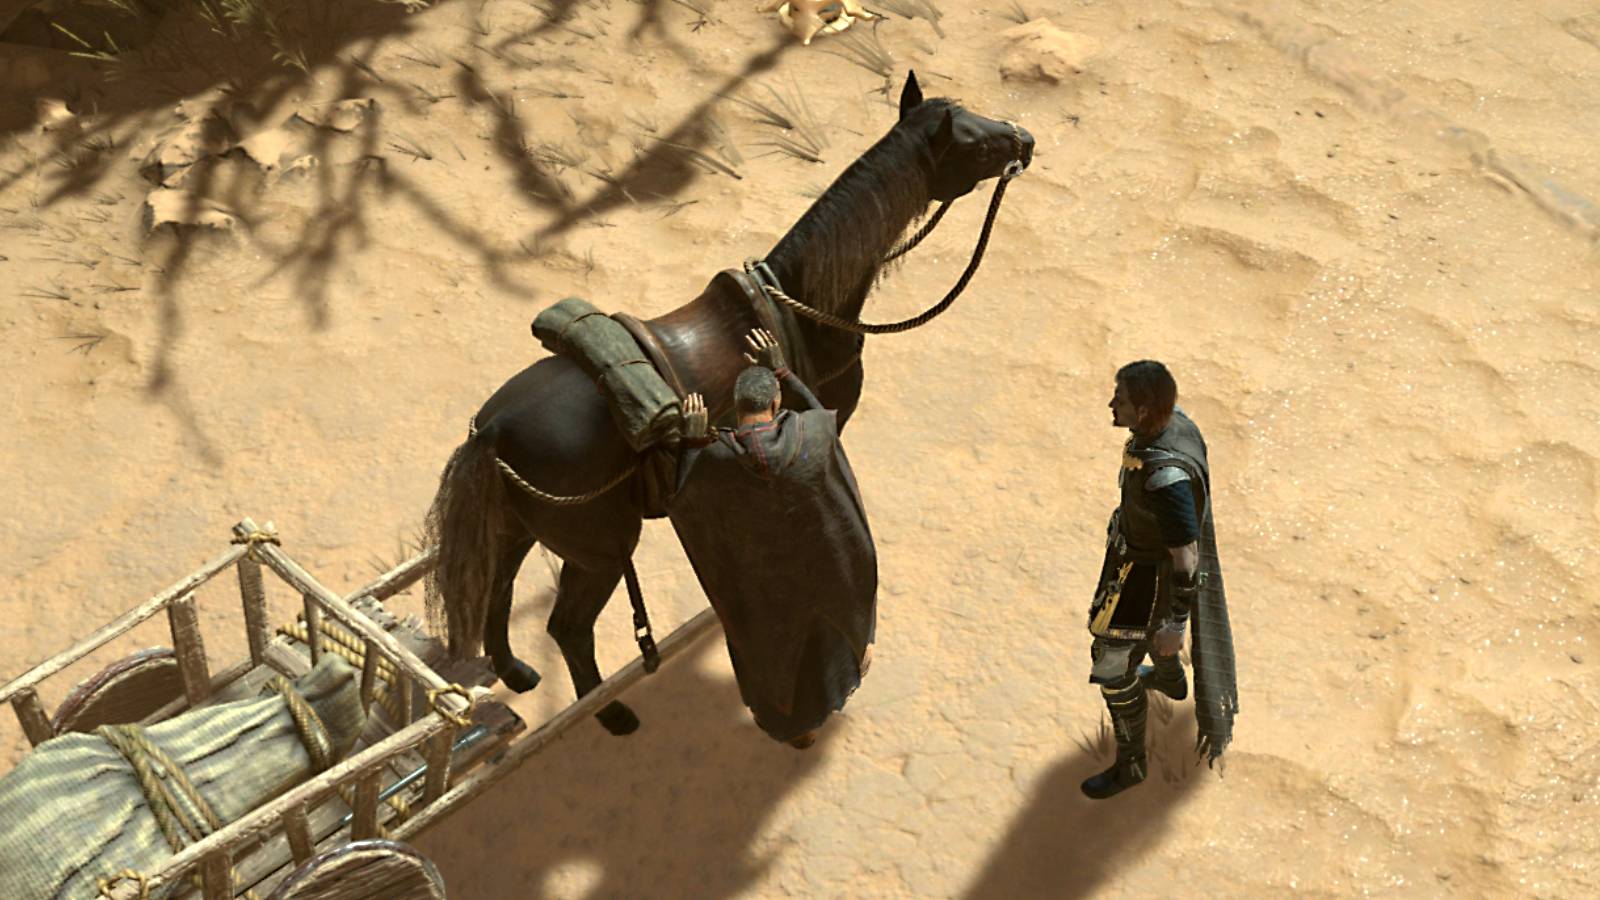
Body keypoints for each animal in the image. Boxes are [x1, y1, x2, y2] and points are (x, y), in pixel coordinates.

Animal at [424, 70, 1035, 736]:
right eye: (975, 144)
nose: (1025, 140)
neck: (799, 303)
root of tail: (492, 432)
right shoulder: (828, 421)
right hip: (601, 551)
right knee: (568, 628)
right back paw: (609, 714)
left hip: (516, 529)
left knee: (498, 589)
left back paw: (514, 673)